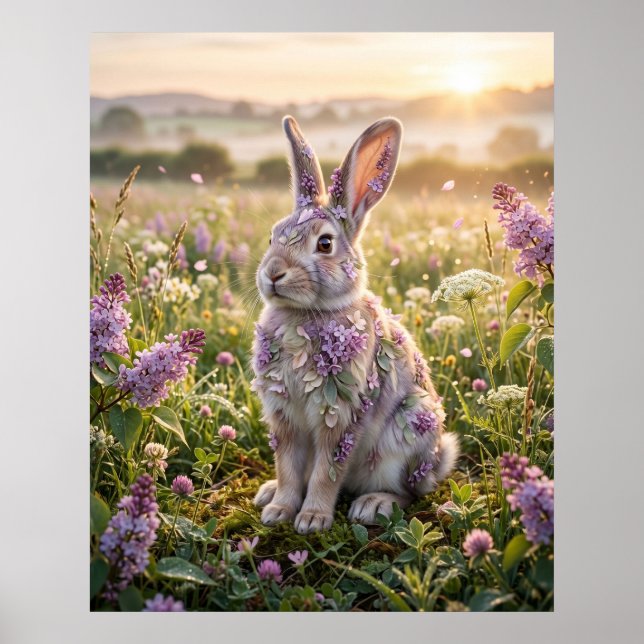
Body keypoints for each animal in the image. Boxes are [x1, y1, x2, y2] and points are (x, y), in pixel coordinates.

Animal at [251, 115, 459, 534]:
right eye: (272, 236)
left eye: (325, 244)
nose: (273, 273)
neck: (305, 315)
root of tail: (436, 461)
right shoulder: (284, 418)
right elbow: (287, 468)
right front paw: (279, 510)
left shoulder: (341, 414)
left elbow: (326, 471)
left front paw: (312, 519)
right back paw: (267, 493)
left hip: (405, 437)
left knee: (409, 493)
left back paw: (374, 505)